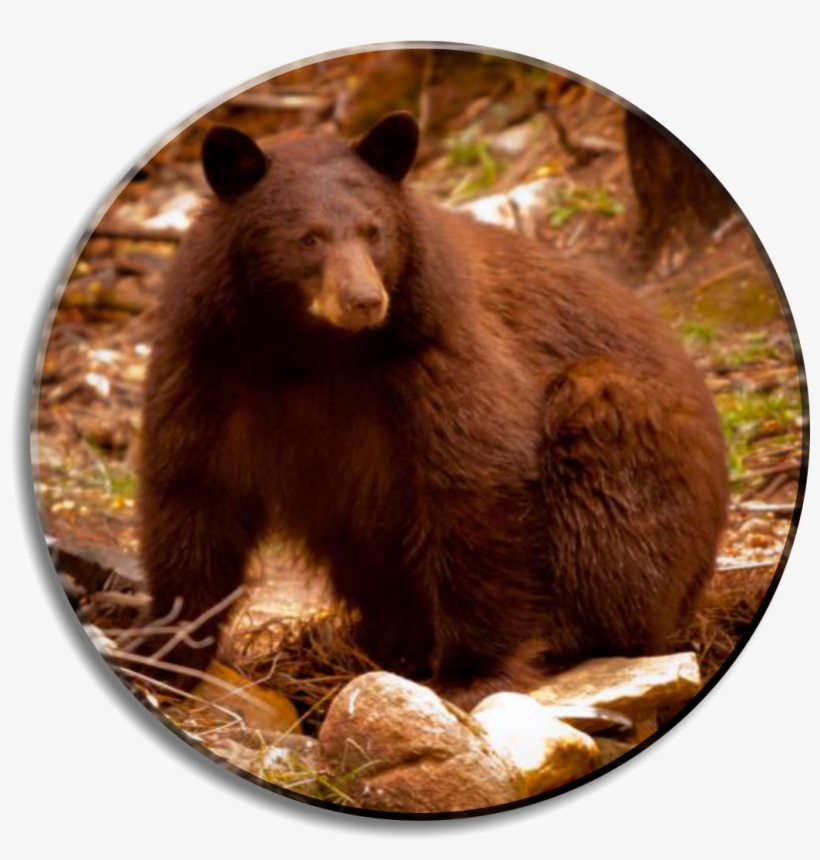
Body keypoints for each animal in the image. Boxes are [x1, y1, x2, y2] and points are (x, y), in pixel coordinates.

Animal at [134, 111, 729, 711]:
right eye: (307, 238)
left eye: (374, 231)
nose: (364, 300)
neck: (311, 348)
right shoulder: (211, 360)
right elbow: (194, 492)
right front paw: (165, 652)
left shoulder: (434, 349)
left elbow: (475, 480)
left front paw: (473, 672)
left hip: (621, 426)